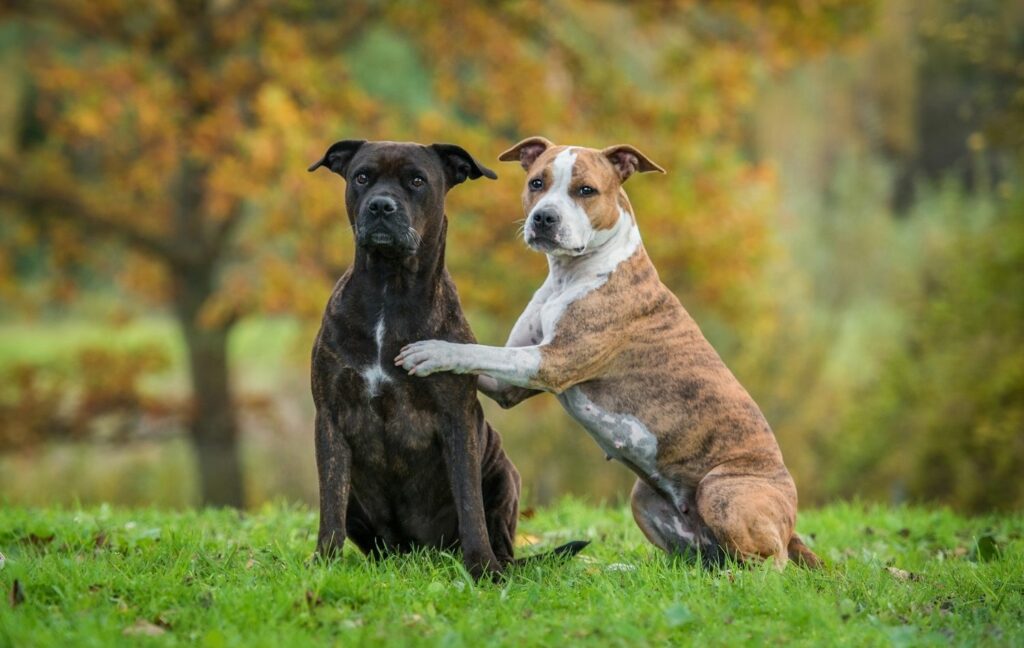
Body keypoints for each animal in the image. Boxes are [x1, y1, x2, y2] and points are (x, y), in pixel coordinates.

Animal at [305, 138, 585, 577]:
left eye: (417, 181)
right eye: (362, 176)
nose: (381, 205)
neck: (390, 289)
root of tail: (417, 552)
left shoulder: (455, 419)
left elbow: (469, 504)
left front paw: (482, 569)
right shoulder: (331, 417)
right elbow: (330, 503)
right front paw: (324, 564)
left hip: (503, 473)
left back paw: (499, 564)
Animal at [395, 135, 819, 565]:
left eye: (586, 191)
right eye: (536, 183)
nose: (544, 218)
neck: (570, 274)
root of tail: (791, 526)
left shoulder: (552, 361)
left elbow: (483, 351)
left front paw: (432, 351)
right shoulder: (509, 387)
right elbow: (485, 358)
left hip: (722, 494)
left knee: (770, 565)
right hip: (644, 500)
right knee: (697, 561)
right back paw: (618, 567)